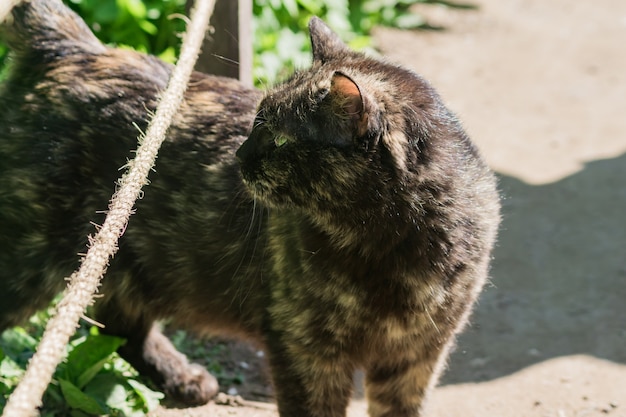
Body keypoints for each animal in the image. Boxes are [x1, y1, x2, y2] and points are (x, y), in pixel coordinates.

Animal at [0, 0, 498, 416]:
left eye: (278, 138)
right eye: (256, 120)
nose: (238, 155)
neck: (390, 247)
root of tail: (69, 47)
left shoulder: (416, 357)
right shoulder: (305, 351)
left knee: (119, 327)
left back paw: (182, 378)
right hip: (29, 262)